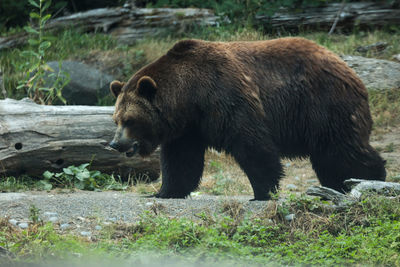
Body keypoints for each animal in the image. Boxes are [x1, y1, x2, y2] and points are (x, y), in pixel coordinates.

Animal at [108, 37, 386, 201]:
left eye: (130, 120)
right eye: (116, 120)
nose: (115, 143)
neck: (189, 96)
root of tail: (349, 69)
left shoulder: (226, 97)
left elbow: (252, 144)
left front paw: (262, 192)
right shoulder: (189, 128)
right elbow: (180, 161)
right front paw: (163, 192)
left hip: (322, 104)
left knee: (341, 148)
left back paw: (370, 178)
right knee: (328, 156)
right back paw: (335, 186)